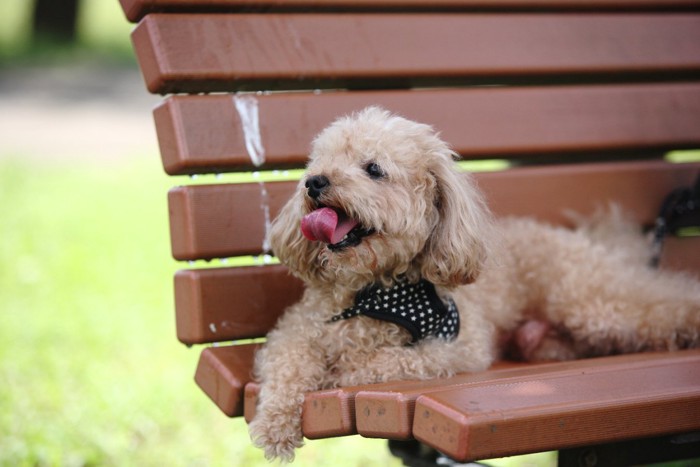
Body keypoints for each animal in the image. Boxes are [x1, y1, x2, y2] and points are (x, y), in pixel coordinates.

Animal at [247, 106, 700, 460]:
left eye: (373, 169)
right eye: (317, 164)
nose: (314, 182)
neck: (371, 291)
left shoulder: (459, 345)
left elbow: (388, 360)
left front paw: (345, 370)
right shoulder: (297, 330)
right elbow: (287, 366)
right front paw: (273, 426)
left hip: (590, 299)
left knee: (663, 302)